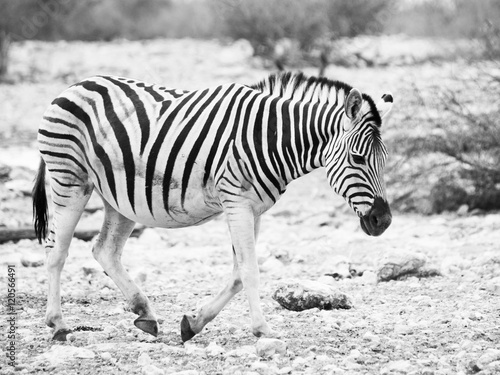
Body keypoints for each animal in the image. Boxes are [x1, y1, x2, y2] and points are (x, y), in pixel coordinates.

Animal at [33, 71, 394, 344]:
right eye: (358, 158)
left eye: (385, 159)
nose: (384, 221)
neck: (271, 139)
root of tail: (76, 84)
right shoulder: (236, 201)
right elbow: (249, 270)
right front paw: (263, 329)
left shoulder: (254, 208)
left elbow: (237, 274)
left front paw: (194, 323)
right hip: (70, 179)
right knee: (56, 251)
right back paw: (58, 325)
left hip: (118, 198)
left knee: (104, 250)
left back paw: (145, 314)